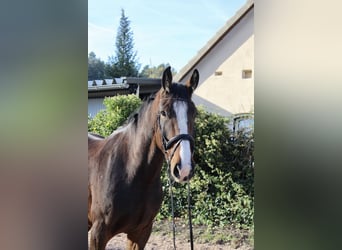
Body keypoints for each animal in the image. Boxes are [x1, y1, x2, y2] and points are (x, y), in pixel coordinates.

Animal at [88, 67, 199, 250]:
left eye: (194, 113)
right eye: (164, 112)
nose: (184, 168)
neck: (132, 173)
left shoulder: (141, 232)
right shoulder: (98, 234)